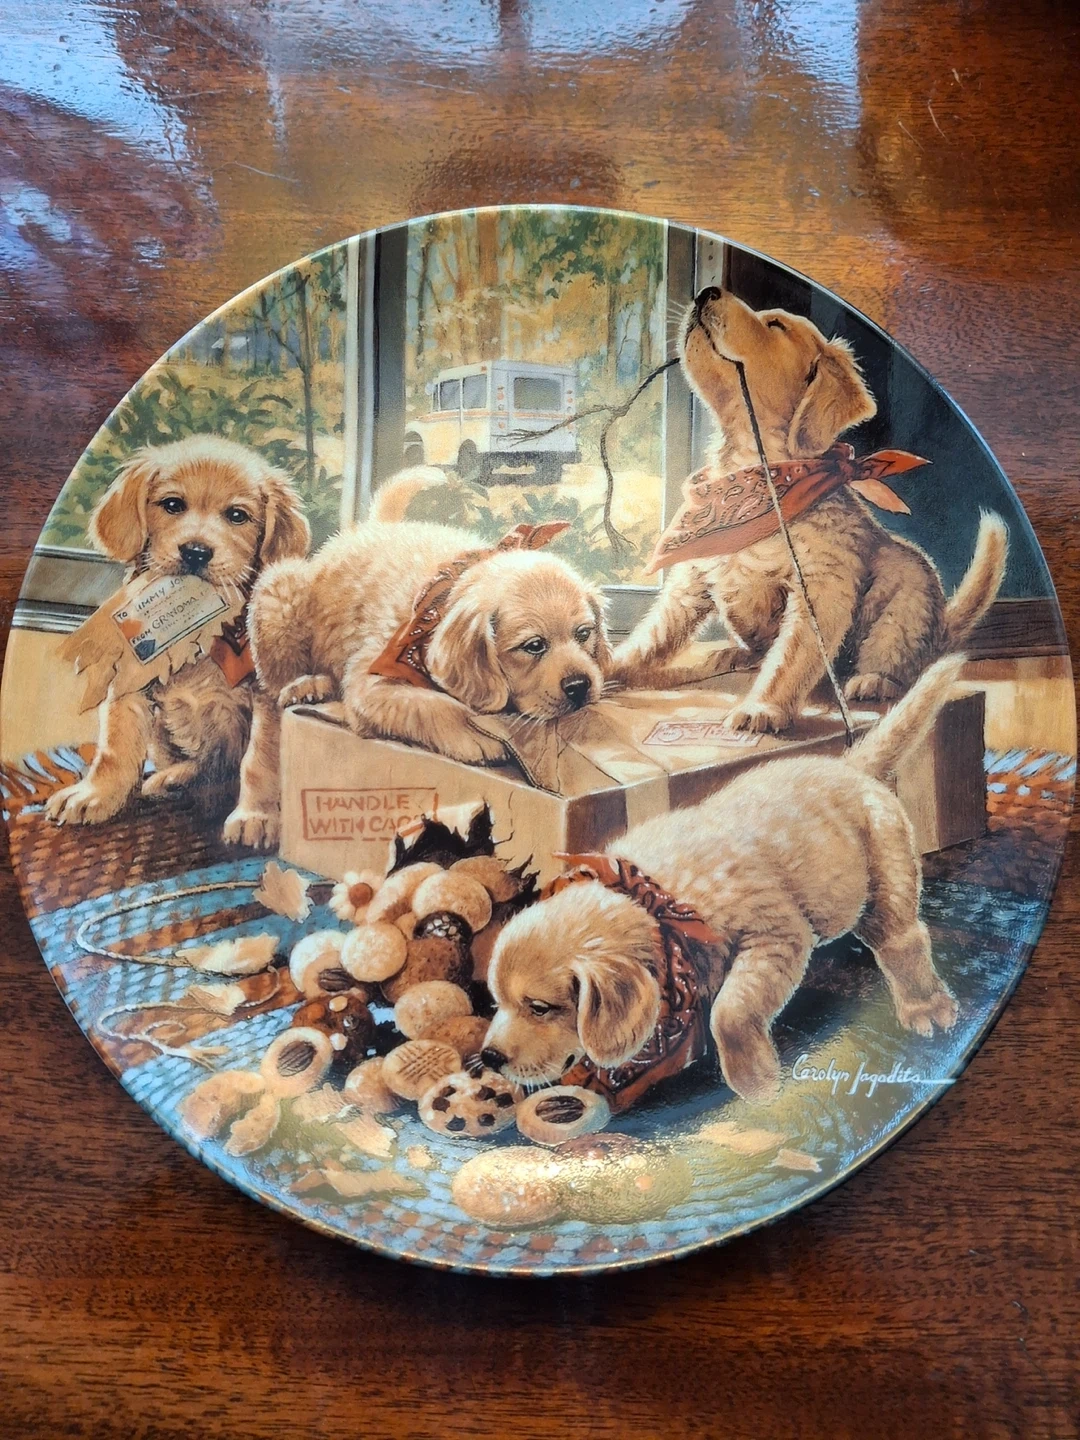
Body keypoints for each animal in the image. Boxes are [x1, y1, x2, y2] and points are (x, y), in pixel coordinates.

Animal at [46, 436, 310, 825]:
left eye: (237, 516)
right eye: (172, 505)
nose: (196, 552)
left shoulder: (268, 696)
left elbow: (260, 758)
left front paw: (255, 816)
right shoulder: (130, 682)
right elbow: (115, 746)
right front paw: (95, 794)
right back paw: (174, 778)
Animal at [223, 515, 612, 848]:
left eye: (584, 634)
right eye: (533, 646)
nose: (580, 687)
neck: (441, 601)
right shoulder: (369, 678)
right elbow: (429, 705)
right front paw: (476, 736)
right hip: (278, 592)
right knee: (270, 707)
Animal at [482, 655, 964, 1104]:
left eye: (539, 1008)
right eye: (495, 1002)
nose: (488, 1058)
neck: (654, 900)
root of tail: (851, 766)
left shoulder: (777, 936)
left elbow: (729, 1012)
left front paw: (757, 1083)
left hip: (886, 875)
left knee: (903, 939)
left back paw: (926, 1005)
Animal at [610, 286, 1007, 732]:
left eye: (776, 325)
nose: (707, 292)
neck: (755, 478)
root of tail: (942, 627)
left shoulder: (820, 586)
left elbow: (792, 656)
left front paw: (762, 707)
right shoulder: (692, 578)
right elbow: (653, 635)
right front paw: (609, 666)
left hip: (907, 603)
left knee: (893, 656)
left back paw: (873, 681)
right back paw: (736, 654)